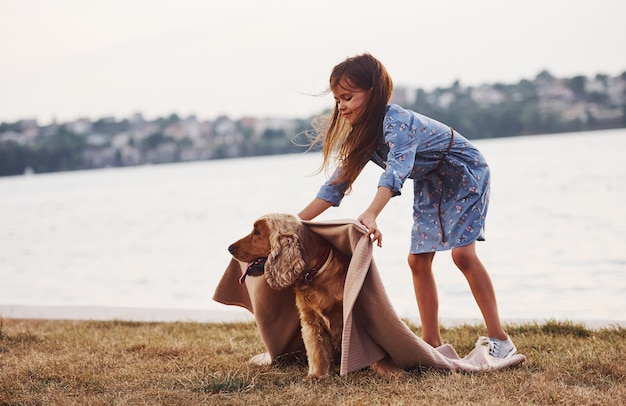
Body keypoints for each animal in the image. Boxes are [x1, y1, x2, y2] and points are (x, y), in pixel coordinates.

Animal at [227, 214, 402, 380]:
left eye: (257, 232)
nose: (229, 248)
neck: (314, 275)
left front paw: (391, 372)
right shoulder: (310, 319)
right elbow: (317, 349)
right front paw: (318, 375)